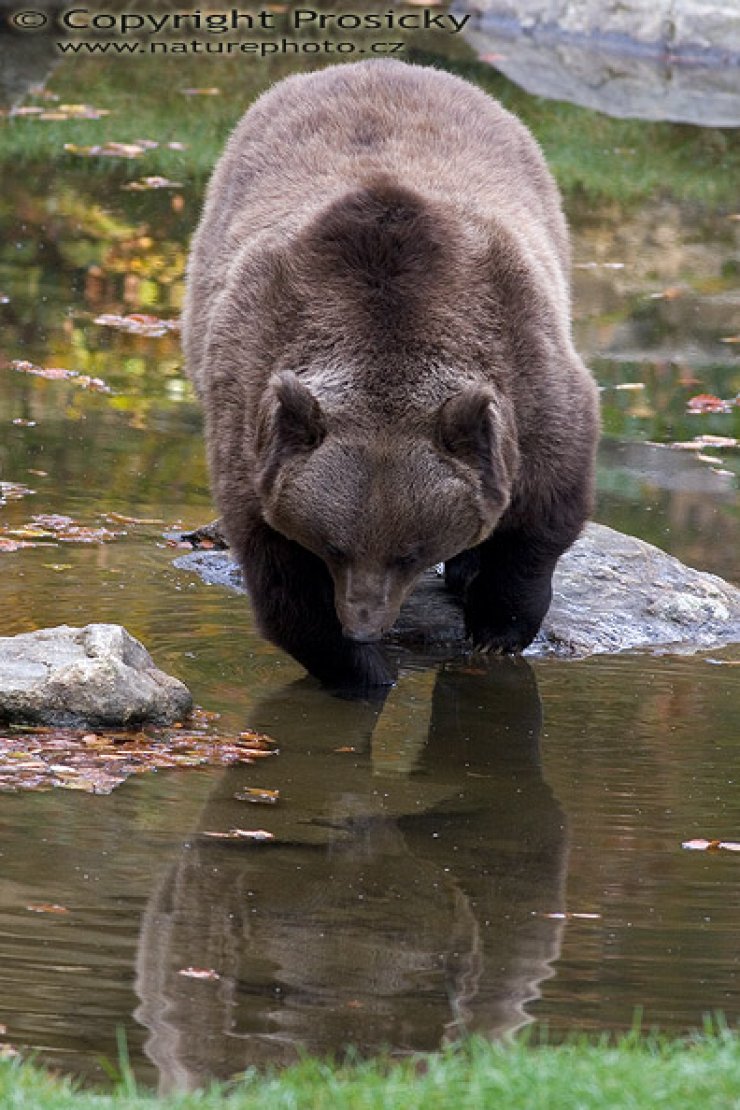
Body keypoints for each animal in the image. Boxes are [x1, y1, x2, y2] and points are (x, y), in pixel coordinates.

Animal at [184, 60, 603, 688]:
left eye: (411, 550)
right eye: (333, 546)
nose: (364, 623)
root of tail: (378, 65)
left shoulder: (525, 364)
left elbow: (543, 509)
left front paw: (497, 627)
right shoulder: (253, 391)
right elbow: (278, 572)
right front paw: (360, 668)